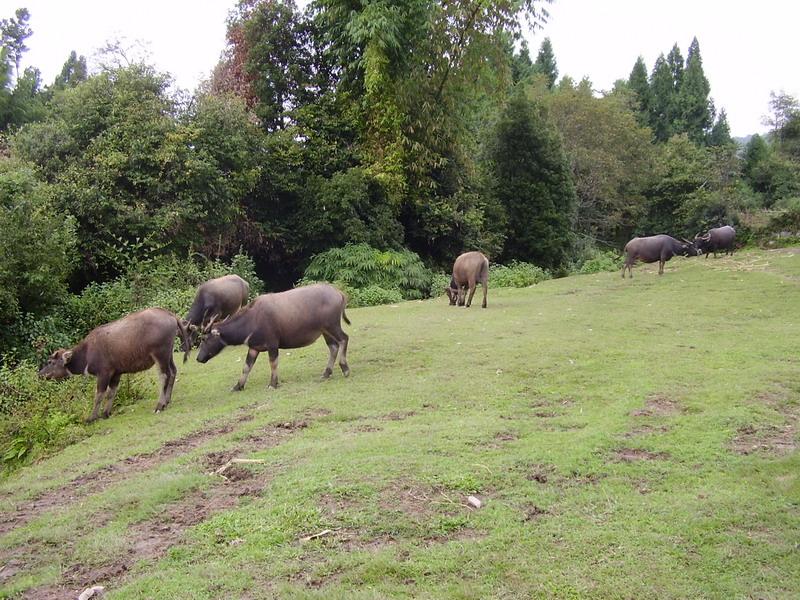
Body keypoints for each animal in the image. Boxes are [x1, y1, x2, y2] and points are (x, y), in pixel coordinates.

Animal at [38, 310, 192, 422]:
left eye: (50, 362)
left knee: (164, 375)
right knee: (173, 372)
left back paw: (160, 405)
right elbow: (111, 392)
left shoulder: (103, 374)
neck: (87, 352)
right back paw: (167, 400)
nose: (40, 374)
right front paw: (106, 413)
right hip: (168, 355)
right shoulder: (116, 373)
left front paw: (92, 417)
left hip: (160, 355)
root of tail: (170, 315)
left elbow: (99, 395)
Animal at [196, 284, 350, 392]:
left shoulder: (272, 345)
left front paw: (273, 384)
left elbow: (273, 363)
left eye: (205, 339)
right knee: (333, 347)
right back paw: (326, 373)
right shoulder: (254, 348)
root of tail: (339, 293)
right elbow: (246, 367)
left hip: (332, 326)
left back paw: (345, 369)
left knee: (344, 339)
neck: (252, 320)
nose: (198, 358)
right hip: (325, 331)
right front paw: (238, 386)